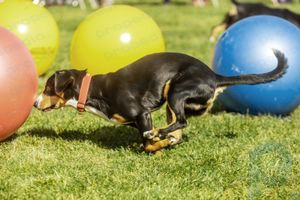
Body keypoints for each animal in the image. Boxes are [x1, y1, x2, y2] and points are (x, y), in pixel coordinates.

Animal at [34, 50, 288, 153]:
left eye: (47, 88)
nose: (35, 103)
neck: (94, 91)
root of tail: (214, 77)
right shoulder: (136, 121)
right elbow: (152, 141)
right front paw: (160, 144)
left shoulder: (142, 114)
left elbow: (147, 143)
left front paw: (156, 144)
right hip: (173, 102)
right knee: (178, 129)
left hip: (176, 91)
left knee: (182, 122)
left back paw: (159, 135)